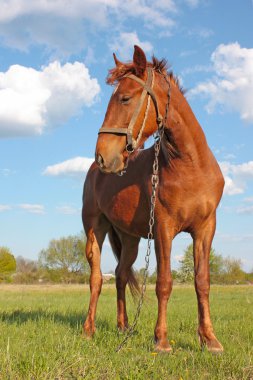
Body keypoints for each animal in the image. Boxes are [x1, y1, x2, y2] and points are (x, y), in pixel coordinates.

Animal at [82, 45, 224, 354]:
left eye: (124, 98)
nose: (103, 155)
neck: (191, 166)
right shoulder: (163, 229)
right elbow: (164, 282)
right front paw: (161, 340)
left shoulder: (205, 229)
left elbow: (202, 281)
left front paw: (209, 339)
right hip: (95, 229)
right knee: (97, 278)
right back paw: (88, 329)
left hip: (130, 238)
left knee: (121, 274)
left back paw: (124, 326)